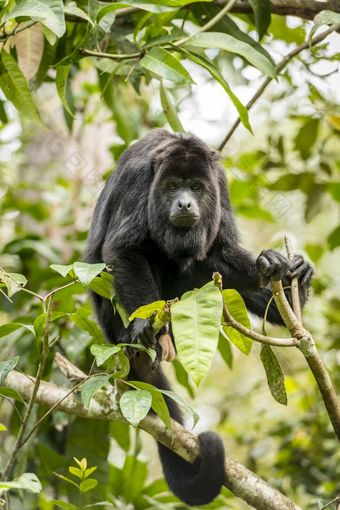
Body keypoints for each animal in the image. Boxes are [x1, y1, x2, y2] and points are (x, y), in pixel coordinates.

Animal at [84, 128, 310, 506]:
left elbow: (223, 248)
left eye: (197, 187)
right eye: (173, 185)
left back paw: (293, 293)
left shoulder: (220, 182)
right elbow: (125, 249)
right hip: (111, 317)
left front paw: (271, 264)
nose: (185, 203)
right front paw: (144, 328)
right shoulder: (137, 178)